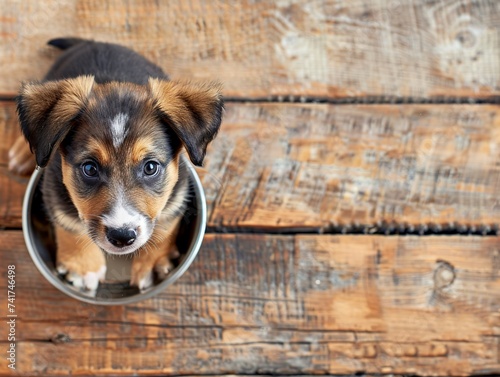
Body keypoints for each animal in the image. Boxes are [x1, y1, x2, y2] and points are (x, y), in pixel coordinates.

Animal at [8, 37, 224, 290]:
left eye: (150, 167)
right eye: (90, 168)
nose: (122, 237)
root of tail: (93, 42)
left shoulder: (179, 190)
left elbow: (166, 222)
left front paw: (152, 262)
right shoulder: (53, 187)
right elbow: (70, 223)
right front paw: (84, 267)